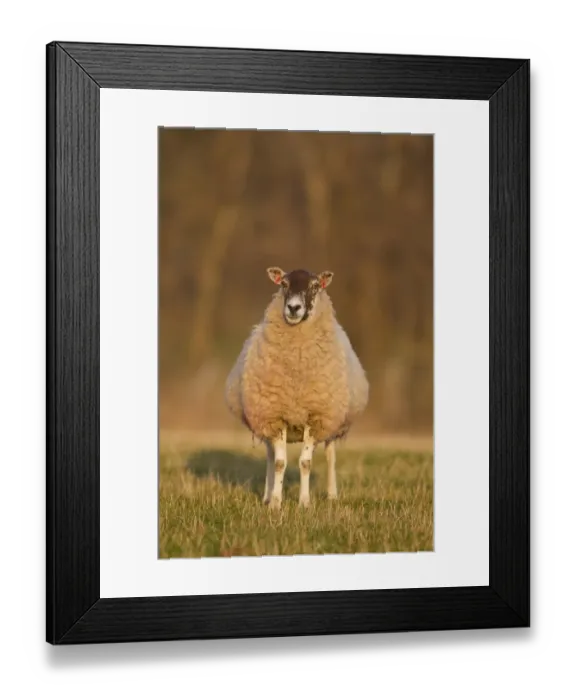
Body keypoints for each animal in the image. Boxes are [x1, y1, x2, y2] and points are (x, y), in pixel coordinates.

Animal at [224, 266, 369, 509]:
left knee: (330, 455)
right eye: (283, 284)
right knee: (271, 456)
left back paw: (332, 495)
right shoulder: (275, 416)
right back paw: (266, 495)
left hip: (332, 421)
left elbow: (305, 463)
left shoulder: (316, 416)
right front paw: (275, 502)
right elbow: (280, 463)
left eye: (315, 286)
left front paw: (304, 503)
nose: (293, 307)